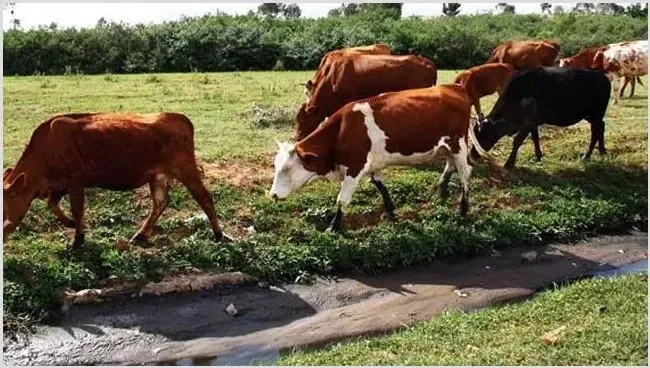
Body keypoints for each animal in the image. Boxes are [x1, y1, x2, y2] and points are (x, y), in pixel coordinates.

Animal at [1, 112, 230, 249]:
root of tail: (177, 117)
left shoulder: (75, 181)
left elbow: (77, 209)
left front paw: (78, 240)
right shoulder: (58, 186)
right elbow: (52, 204)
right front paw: (71, 224)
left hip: (185, 169)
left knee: (204, 197)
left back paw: (219, 234)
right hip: (158, 176)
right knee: (160, 203)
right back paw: (140, 235)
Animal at [268, 85, 492, 231]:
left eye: (287, 169)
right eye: (276, 166)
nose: (273, 195)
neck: (342, 130)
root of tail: (454, 87)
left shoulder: (355, 167)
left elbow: (342, 199)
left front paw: (333, 227)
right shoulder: (372, 164)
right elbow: (381, 186)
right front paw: (392, 212)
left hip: (458, 144)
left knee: (465, 173)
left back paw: (462, 210)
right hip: (448, 147)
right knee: (450, 166)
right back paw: (441, 191)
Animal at [470, 67, 608, 168]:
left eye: (482, 134)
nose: (473, 154)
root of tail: (604, 78)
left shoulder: (527, 123)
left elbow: (517, 141)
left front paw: (509, 163)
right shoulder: (533, 123)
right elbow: (535, 138)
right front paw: (538, 156)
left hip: (596, 115)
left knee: (595, 132)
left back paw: (587, 155)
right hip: (591, 117)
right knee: (601, 127)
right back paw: (602, 151)